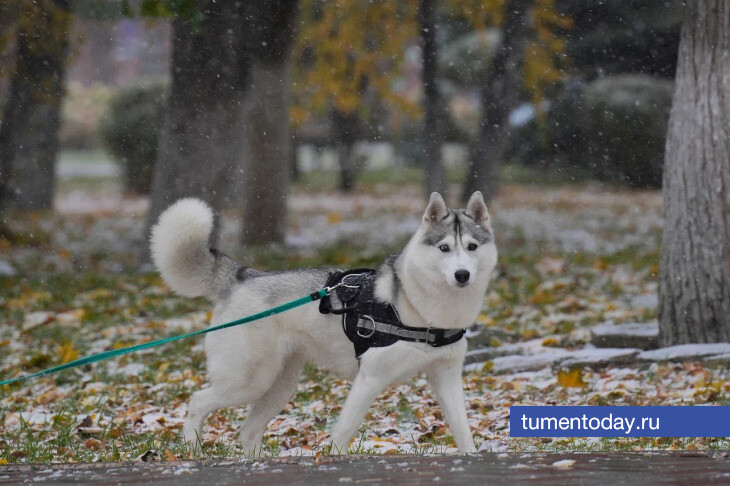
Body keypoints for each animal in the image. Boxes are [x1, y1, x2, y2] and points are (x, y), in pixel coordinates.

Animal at [151, 192, 498, 454]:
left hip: (279, 385)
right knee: (197, 401)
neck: (419, 308)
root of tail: (243, 276)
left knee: (248, 431)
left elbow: (463, 431)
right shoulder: (370, 378)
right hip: (248, 380)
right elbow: (343, 434)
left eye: (472, 247)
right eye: (444, 248)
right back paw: (193, 448)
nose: (462, 275)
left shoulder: (446, 377)